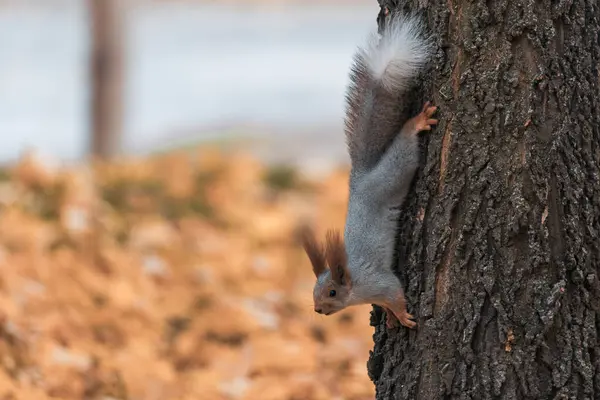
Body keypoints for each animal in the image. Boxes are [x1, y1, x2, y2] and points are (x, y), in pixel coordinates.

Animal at [300, 13, 436, 332]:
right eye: (314, 292)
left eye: (332, 292)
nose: (318, 310)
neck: (355, 285)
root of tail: (361, 177)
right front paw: (390, 315)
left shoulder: (379, 281)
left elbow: (395, 293)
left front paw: (402, 315)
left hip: (394, 172)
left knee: (405, 148)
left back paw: (416, 123)